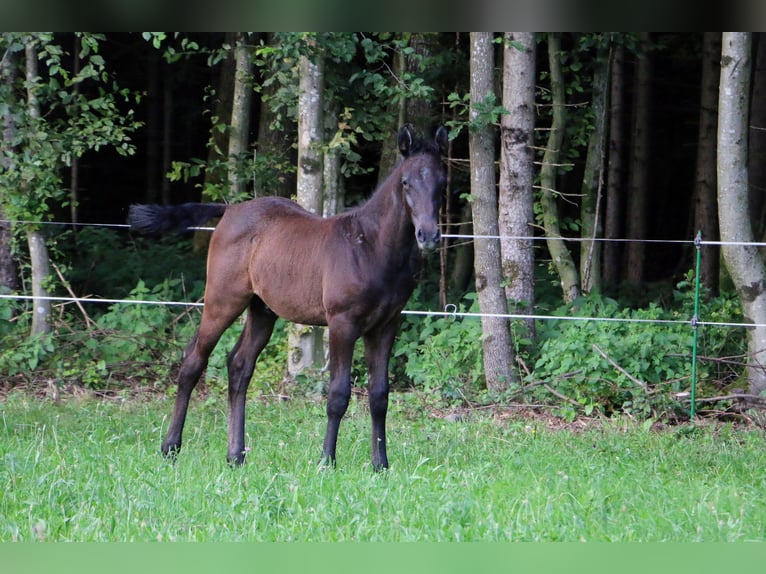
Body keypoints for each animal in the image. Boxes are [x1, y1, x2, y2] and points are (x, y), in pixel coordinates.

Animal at [128, 126, 448, 472]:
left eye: (442, 181)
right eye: (406, 182)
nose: (428, 236)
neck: (371, 246)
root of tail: (230, 210)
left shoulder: (386, 326)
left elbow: (379, 396)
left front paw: (381, 465)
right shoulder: (343, 324)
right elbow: (338, 395)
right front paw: (326, 461)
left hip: (262, 310)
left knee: (239, 366)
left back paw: (235, 455)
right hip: (222, 301)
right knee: (193, 361)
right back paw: (170, 447)